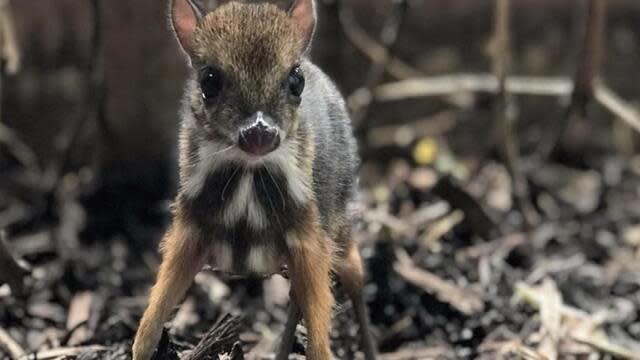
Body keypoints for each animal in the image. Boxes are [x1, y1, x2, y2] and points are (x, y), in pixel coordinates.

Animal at [132, 1, 378, 358]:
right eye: (209, 81)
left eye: (295, 79)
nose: (259, 132)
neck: (248, 178)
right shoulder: (188, 229)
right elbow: (152, 317)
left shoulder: (309, 234)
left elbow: (319, 342)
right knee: (298, 297)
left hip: (340, 222)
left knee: (355, 275)